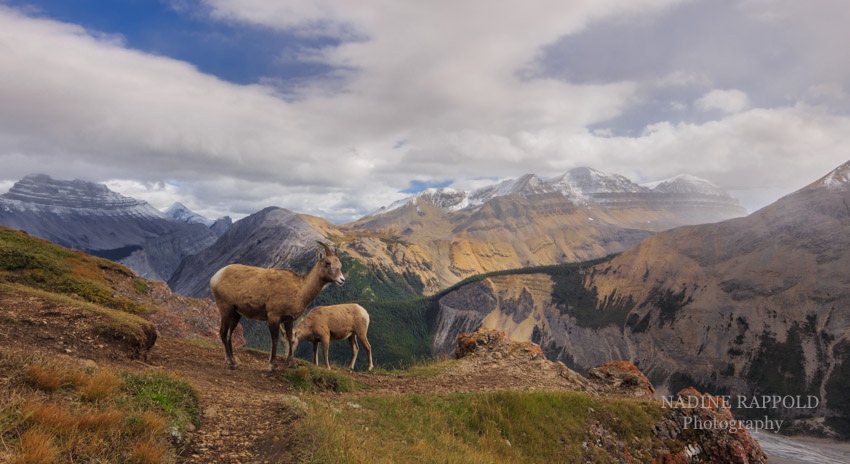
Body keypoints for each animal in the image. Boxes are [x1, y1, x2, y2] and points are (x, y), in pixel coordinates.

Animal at [210, 241, 342, 372]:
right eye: (327, 263)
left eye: (339, 264)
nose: (342, 280)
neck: (300, 290)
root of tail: (215, 277)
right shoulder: (274, 317)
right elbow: (275, 340)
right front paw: (273, 365)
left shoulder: (288, 319)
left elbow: (290, 338)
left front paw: (292, 363)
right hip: (226, 309)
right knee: (222, 332)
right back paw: (232, 363)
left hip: (236, 314)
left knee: (228, 334)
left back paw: (232, 360)